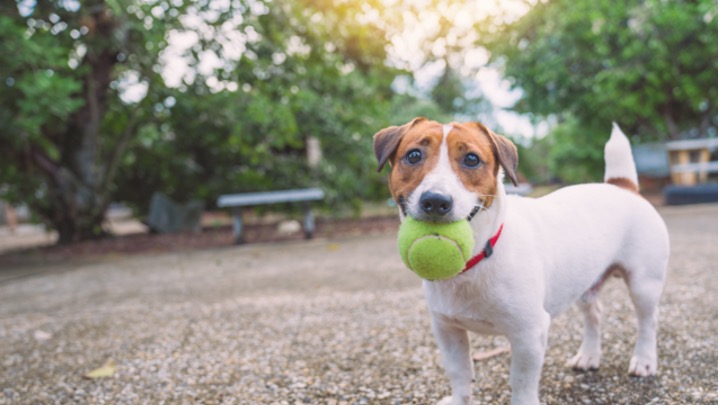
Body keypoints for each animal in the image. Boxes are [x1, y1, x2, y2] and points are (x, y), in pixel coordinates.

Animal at [374, 117, 672, 404]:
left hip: (644, 284)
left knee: (648, 321)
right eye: (413, 155)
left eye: (471, 159)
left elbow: (521, 382)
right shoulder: (448, 330)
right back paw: (588, 356)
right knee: (594, 314)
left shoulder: (528, 334)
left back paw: (644, 360)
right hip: (584, 283)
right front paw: (459, 400)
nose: (436, 201)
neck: (480, 256)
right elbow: (459, 373)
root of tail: (622, 186)